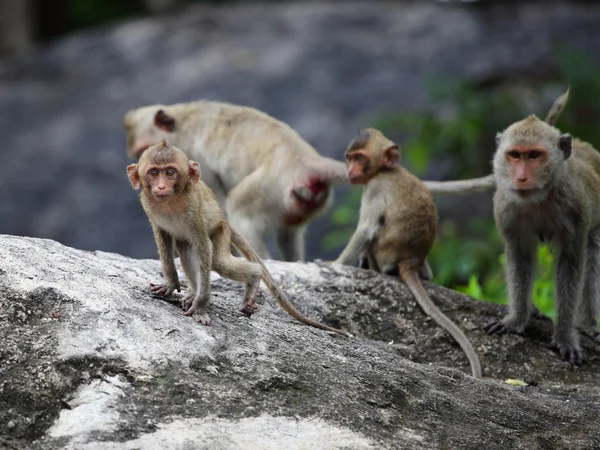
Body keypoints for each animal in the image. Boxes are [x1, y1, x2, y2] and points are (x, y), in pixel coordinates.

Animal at [123, 100, 496, 262]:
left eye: (144, 151)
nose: (143, 178)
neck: (183, 117)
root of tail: (306, 161)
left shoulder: (192, 158)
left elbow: (211, 196)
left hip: (269, 188)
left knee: (241, 206)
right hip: (298, 201)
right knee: (289, 232)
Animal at [127, 141, 352, 338]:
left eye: (170, 173)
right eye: (154, 173)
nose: (161, 187)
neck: (171, 202)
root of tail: (225, 218)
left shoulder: (193, 209)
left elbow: (203, 247)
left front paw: (200, 306)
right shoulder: (149, 205)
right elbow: (163, 238)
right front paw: (171, 283)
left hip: (221, 230)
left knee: (217, 261)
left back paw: (253, 276)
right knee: (186, 247)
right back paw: (194, 291)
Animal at [336, 128, 486, 378]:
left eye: (360, 158)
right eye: (350, 158)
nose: (349, 170)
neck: (387, 170)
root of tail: (411, 261)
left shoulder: (375, 187)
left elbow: (365, 230)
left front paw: (331, 263)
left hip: (383, 255)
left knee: (372, 240)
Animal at [488, 89, 600, 366]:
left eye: (534, 155)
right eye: (515, 155)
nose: (521, 177)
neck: (539, 198)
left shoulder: (575, 207)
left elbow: (571, 263)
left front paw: (565, 337)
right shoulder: (505, 208)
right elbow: (519, 257)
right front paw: (517, 319)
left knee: (592, 253)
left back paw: (589, 324)